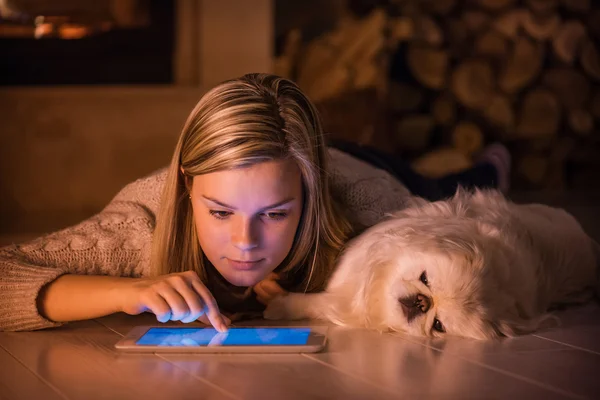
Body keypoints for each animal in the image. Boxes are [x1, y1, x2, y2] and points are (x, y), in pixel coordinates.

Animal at [266, 189, 600, 340]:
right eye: (425, 279)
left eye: (438, 325)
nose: (421, 303)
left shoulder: (344, 303)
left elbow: (317, 303)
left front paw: (280, 305)